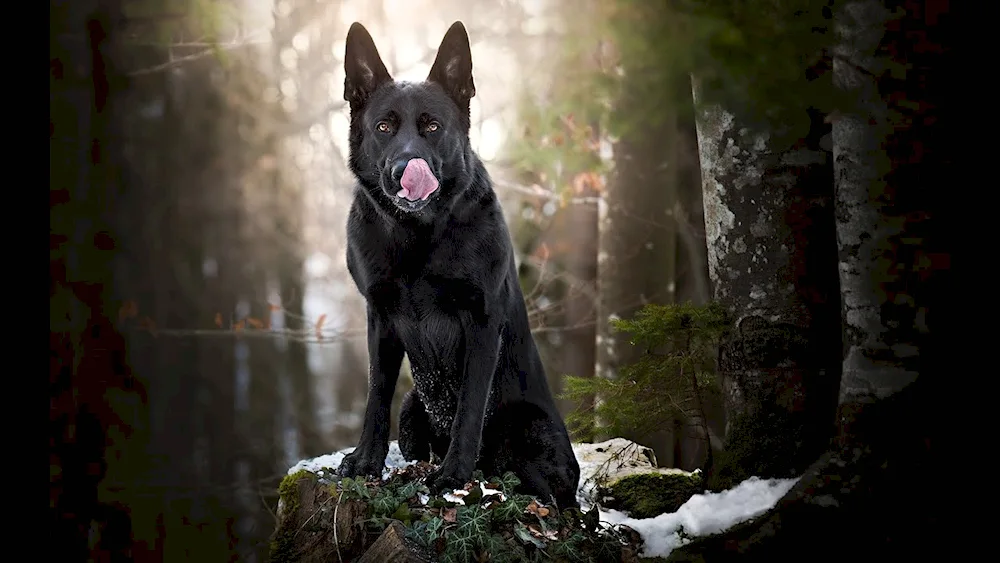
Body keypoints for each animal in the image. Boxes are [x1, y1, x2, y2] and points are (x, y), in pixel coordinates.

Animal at [336, 20, 580, 512]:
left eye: (432, 126)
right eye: (384, 127)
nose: (405, 169)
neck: (417, 234)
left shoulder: (481, 320)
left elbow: (469, 406)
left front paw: (453, 476)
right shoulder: (380, 316)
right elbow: (376, 395)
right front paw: (366, 462)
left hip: (532, 432)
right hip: (412, 410)